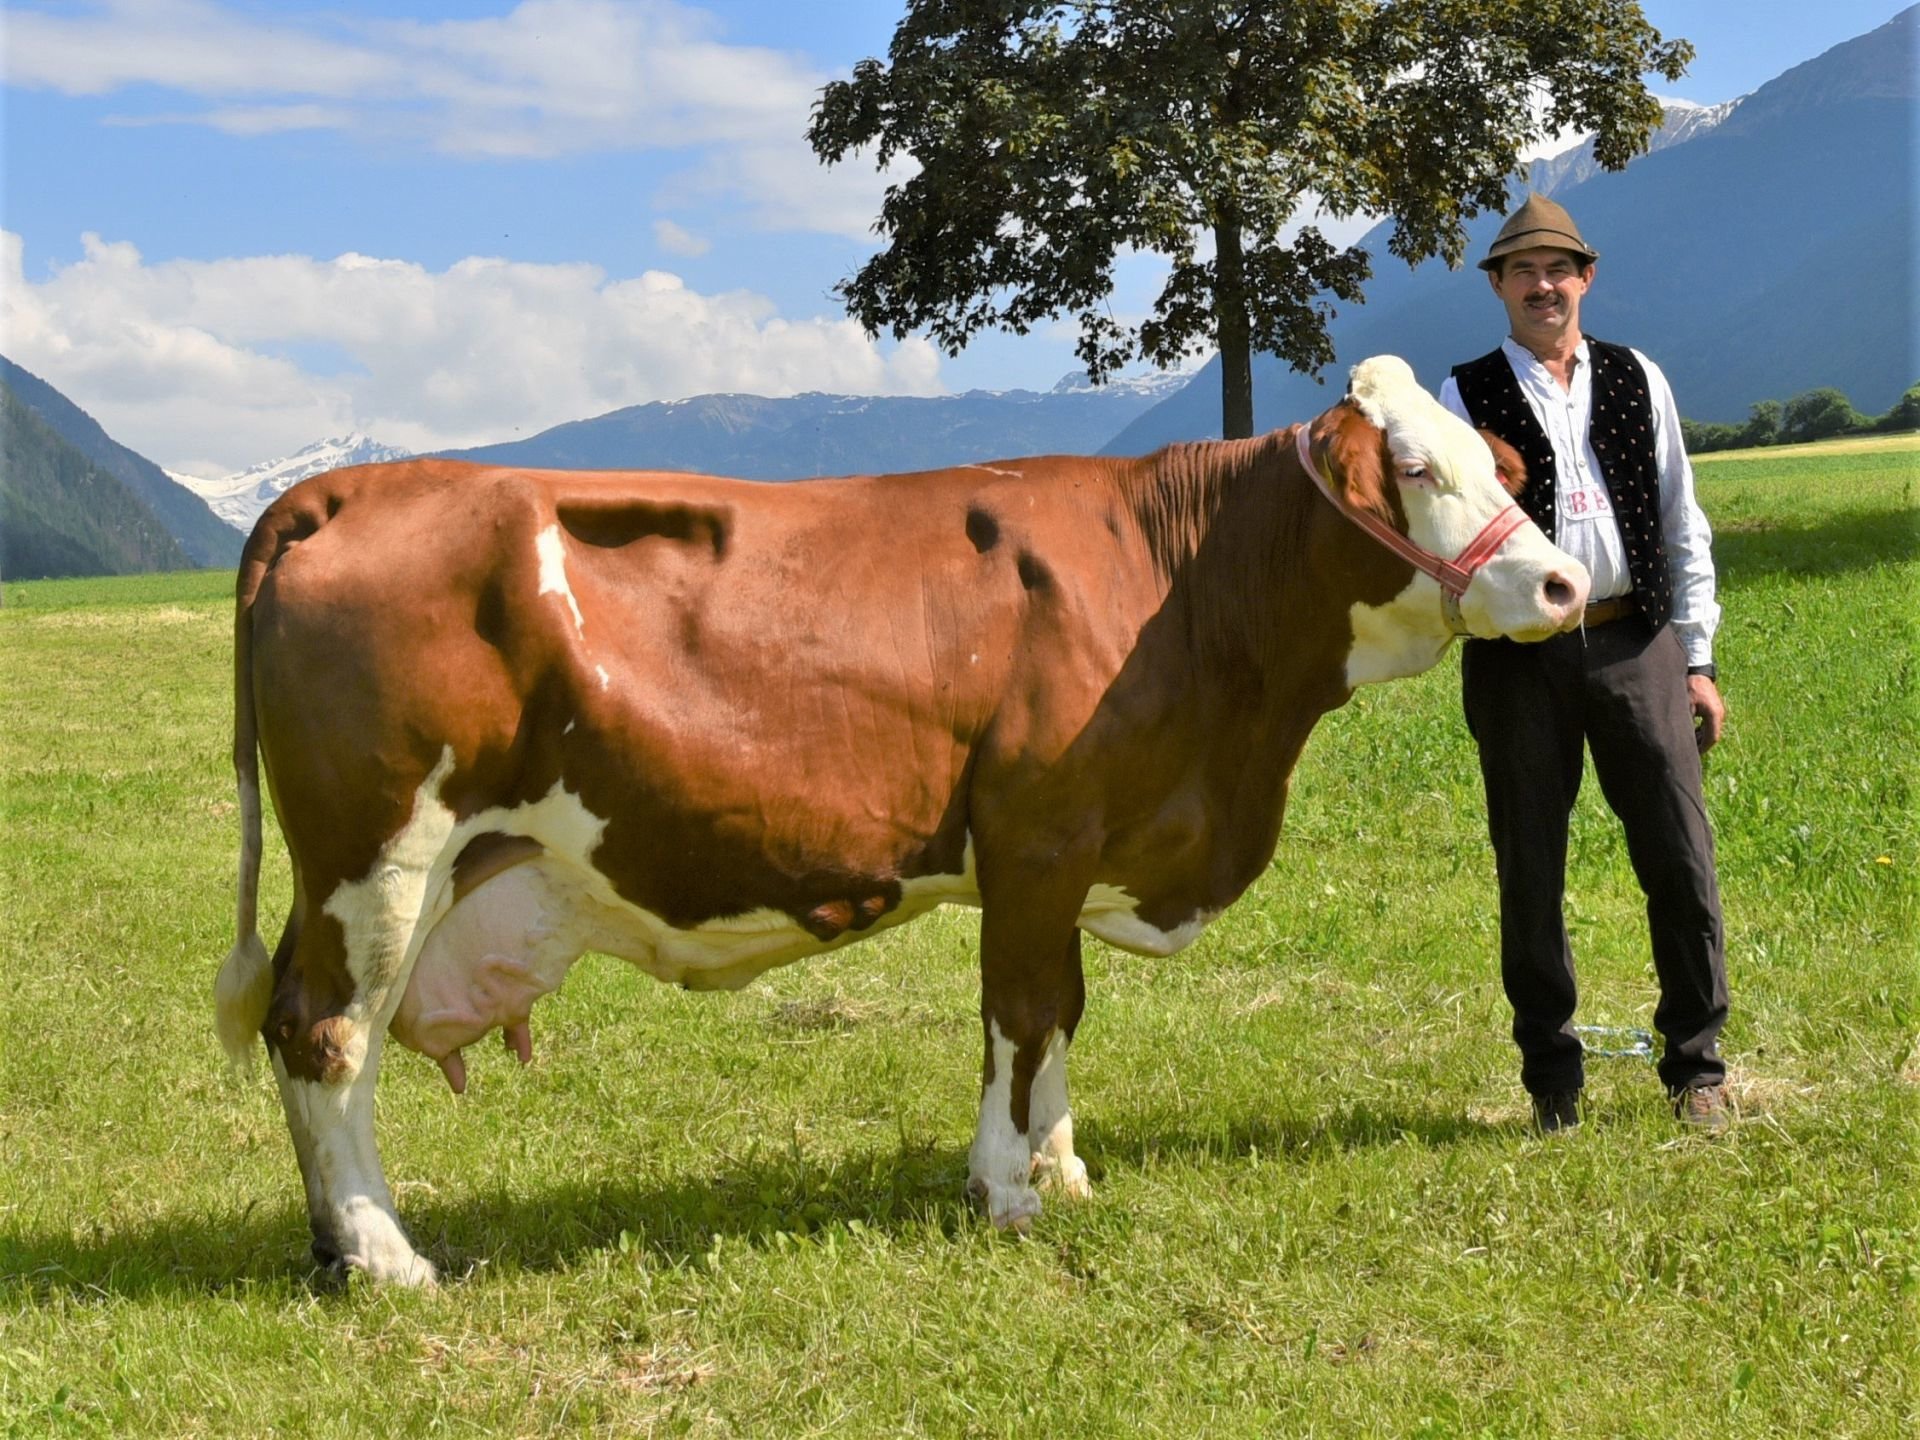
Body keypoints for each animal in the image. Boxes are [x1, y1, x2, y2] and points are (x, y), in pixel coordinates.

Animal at [214, 355, 1589, 1282]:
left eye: (1499, 463)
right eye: (1413, 467)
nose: (1566, 582)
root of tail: (348, 489)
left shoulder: (1072, 854)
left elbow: (1061, 1015)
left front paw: (1063, 1168)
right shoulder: (1036, 838)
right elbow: (1019, 1016)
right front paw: (1005, 1191)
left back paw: (334, 1244)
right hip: (376, 855)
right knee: (325, 1035)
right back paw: (386, 1256)